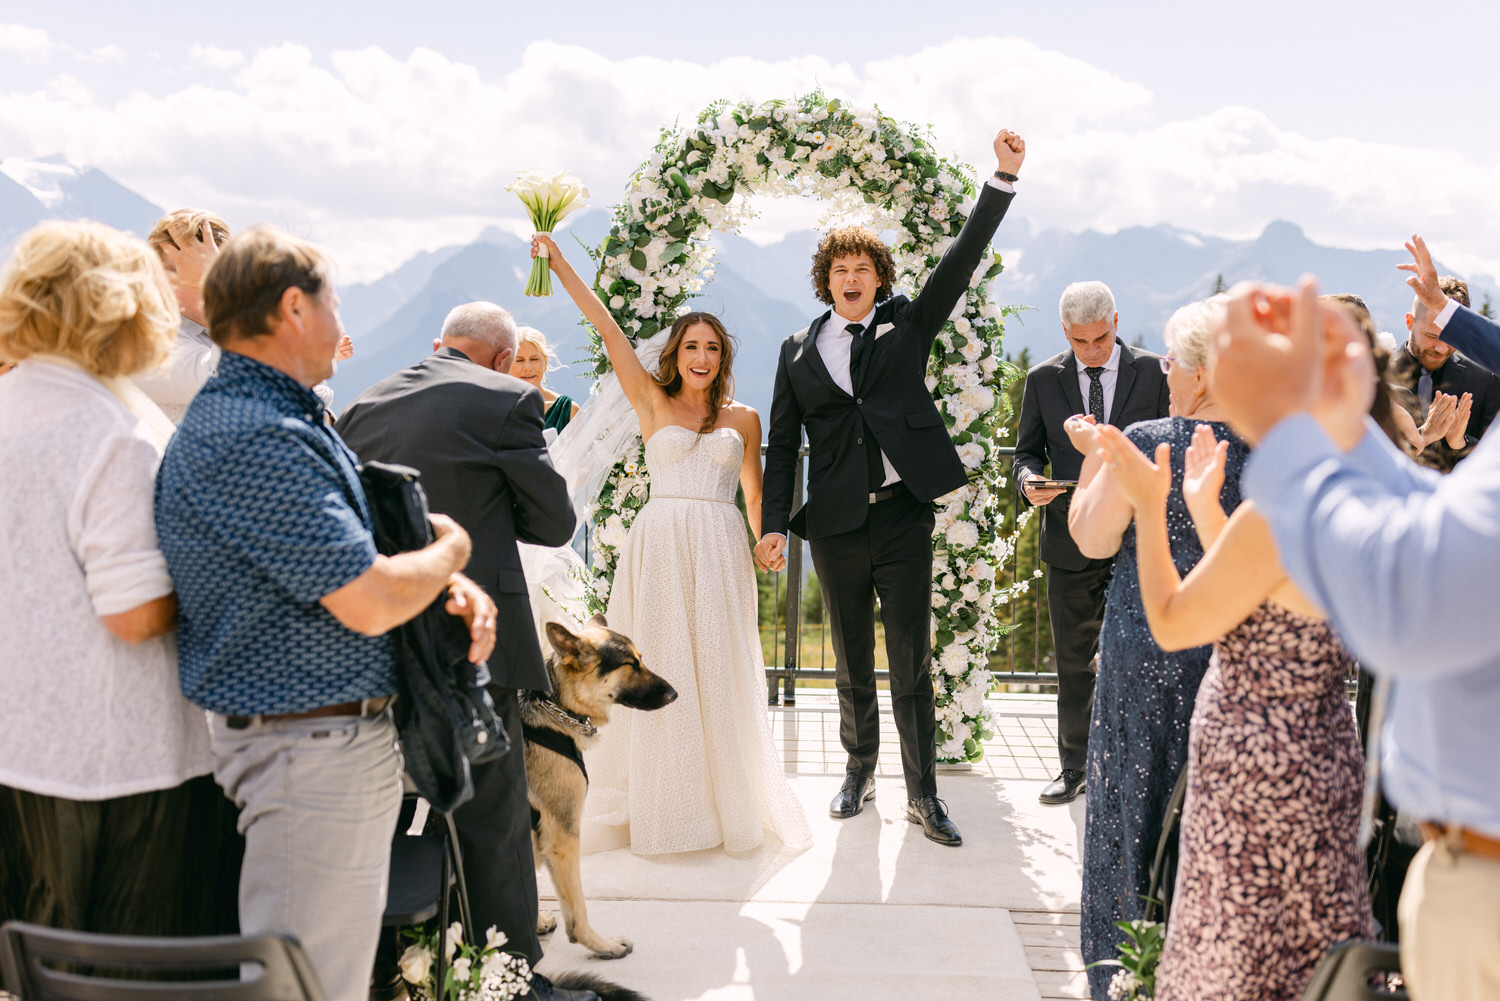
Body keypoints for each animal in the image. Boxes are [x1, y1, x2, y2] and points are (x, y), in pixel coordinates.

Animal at [522, 615, 675, 960]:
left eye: (641, 659)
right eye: (630, 664)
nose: (674, 695)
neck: (557, 706)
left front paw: (535, 922)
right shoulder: (563, 839)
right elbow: (578, 906)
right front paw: (603, 945)